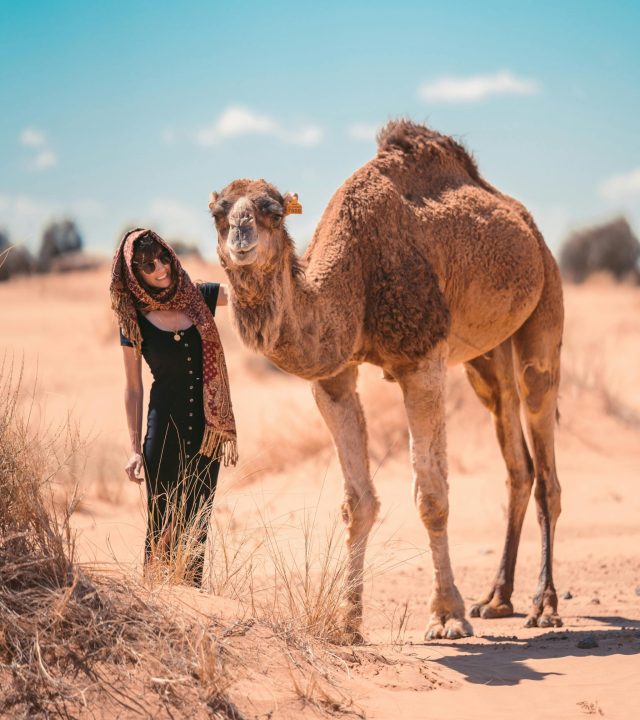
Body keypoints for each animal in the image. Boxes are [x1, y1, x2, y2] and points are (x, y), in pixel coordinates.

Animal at [208, 120, 563, 641]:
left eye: (272, 211)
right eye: (218, 212)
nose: (240, 235)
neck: (354, 274)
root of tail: (527, 224)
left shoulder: (422, 359)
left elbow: (432, 494)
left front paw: (446, 615)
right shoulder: (333, 376)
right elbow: (358, 501)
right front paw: (347, 621)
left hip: (545, 306)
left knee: (543, 452)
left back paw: (545, 605)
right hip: (485, 359)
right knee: (517, 461)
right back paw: (497, 599)